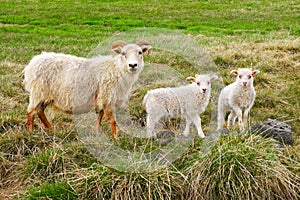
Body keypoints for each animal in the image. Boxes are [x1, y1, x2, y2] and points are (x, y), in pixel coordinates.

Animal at [23, 39, 151, 138]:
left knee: (39, 111)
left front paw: (96, 132)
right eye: (123, 53)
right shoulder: (107, 96)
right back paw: (30, 133)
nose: (133, 65)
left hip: (47, 95)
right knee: (31, 112)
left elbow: (100, 114)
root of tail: (32, 63)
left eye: (140, 52)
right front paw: (116, 138)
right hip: (39, 92)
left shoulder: (102, 97)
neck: (116, 69)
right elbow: (112, 120)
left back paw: (50, 129)